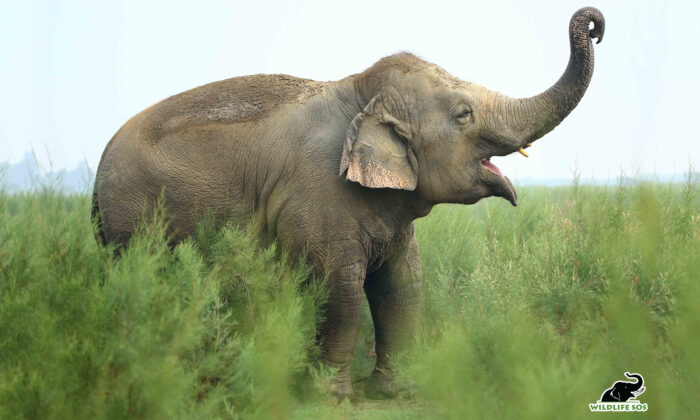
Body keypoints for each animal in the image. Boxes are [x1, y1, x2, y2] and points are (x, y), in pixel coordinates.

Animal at [93, 7, 604, 400]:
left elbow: (402, 285)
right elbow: (339, 288)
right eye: (463, 115)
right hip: (130, 222)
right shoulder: (318, 197)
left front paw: (395, 391)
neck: (359, 89)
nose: (593, 22)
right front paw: (331, 397)